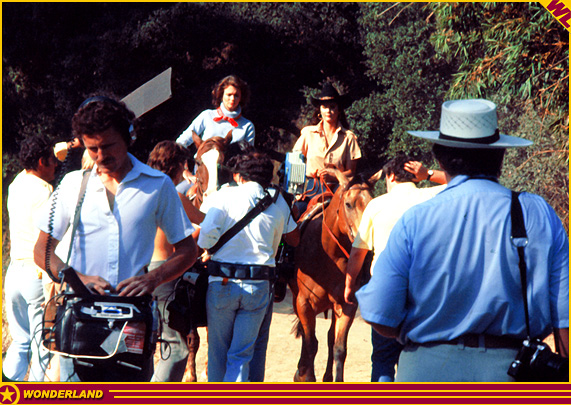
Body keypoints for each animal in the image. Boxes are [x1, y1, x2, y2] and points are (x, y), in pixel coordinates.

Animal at [292, 166, 382, 380]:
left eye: (371, 202)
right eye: (348, 204)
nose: (367, 242)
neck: (328, 254)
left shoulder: (347, 304)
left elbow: (339, 347)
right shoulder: (304, 303)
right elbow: (311, 344)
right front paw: (306, 376)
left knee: (330, 337)